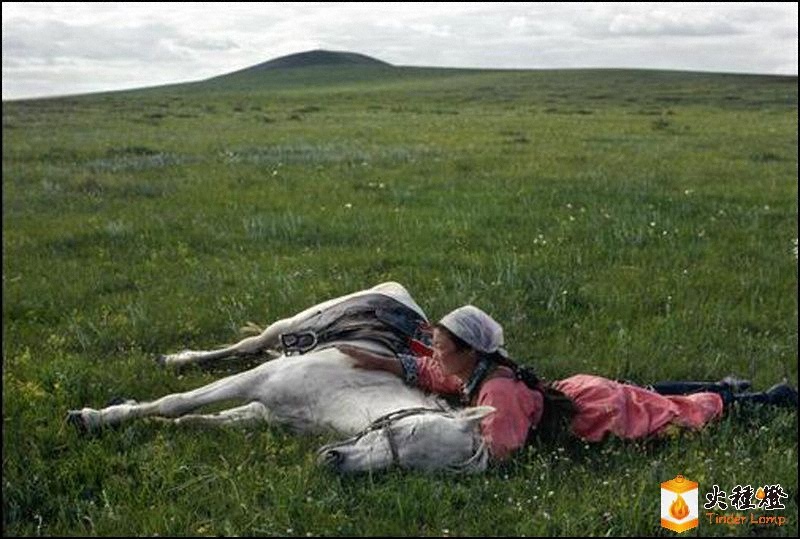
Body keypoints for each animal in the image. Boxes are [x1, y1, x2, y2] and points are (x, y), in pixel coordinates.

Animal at [69, 282, 494, 472]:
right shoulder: (256, 380)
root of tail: (398, 294)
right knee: (247, 345)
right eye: (406, 431)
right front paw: (92, 417)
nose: (334, 460)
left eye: (408, 467)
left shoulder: (263, 412)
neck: (344, 392)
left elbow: (198, 420)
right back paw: (176, 359)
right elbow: (176, 403)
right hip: (287, 325)